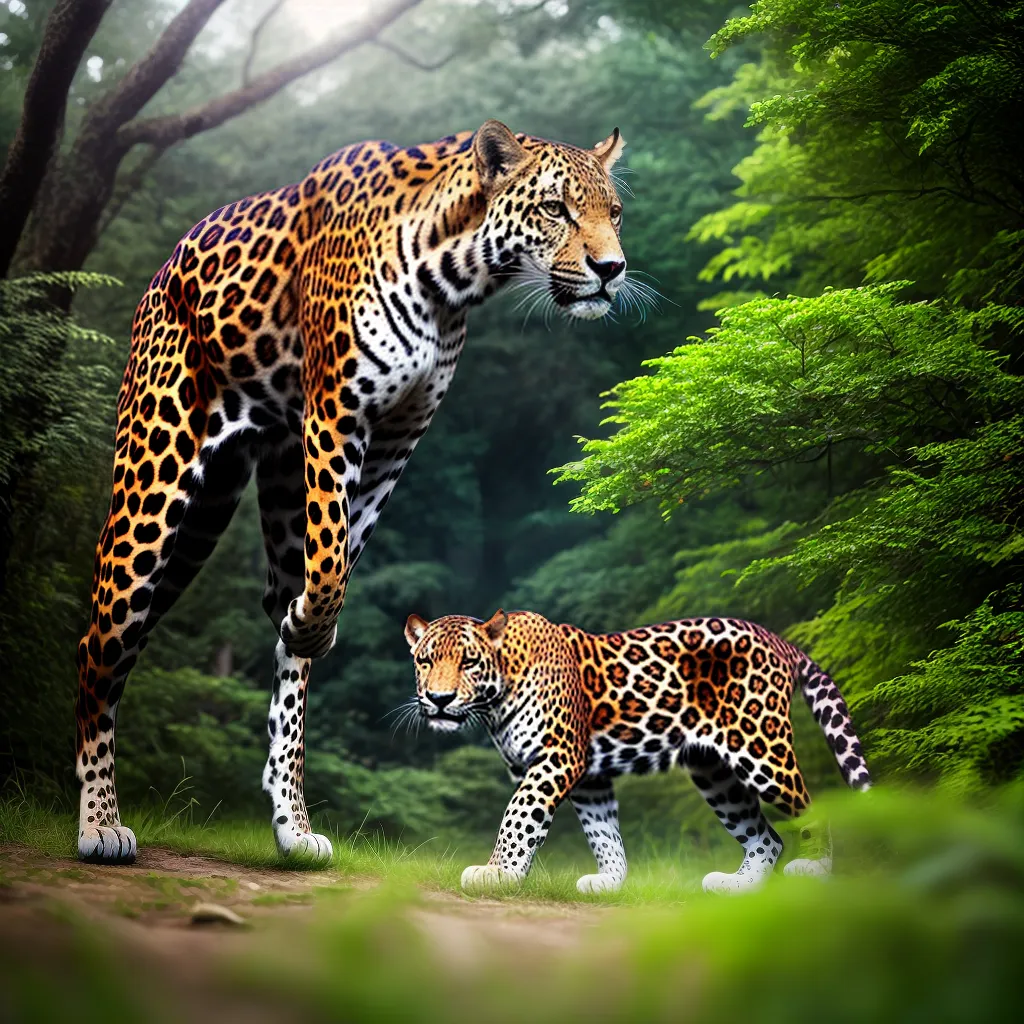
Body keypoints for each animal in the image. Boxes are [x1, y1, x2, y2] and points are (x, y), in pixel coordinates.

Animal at [74, 120, 631, 865]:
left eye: (614, 213)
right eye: (555, 209)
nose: (612, 268)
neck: (453, 278)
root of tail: (162, 273)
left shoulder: (397, 439)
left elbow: (331, 566)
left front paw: (305, 623)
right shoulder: (338, 412)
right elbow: (331, 563)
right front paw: (313, 622)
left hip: (224, 510)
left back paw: (292, 822)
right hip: (154, 485)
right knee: (100, 642)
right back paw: (98, 822)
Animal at [404, 608, 871, 895]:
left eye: (468, 662)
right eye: (425, 661)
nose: (439, 699)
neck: (496, 695)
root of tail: (778, 640)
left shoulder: (556, 757)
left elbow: (519, 817)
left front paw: (497, 872)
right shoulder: (590, 779)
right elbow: (603, 833)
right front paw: (610, 882)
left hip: (760, 747)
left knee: (809, 808)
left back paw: (815, 869)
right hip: (714, 772)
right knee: (767, 838)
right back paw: (736, 887)